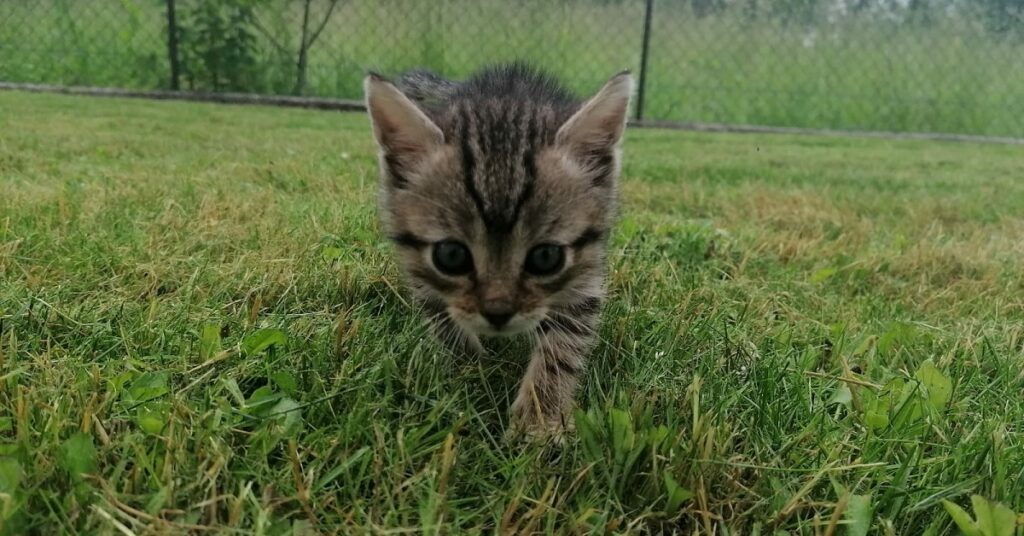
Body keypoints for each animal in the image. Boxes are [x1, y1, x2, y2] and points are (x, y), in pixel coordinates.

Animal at [360, 65, 630, 438]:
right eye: (451, 256)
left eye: (546, 258)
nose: (497, 314)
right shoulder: (422, 277)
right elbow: (444, 321)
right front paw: (472, 373)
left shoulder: (585, 278)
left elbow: (564, 346)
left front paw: (539, 419)